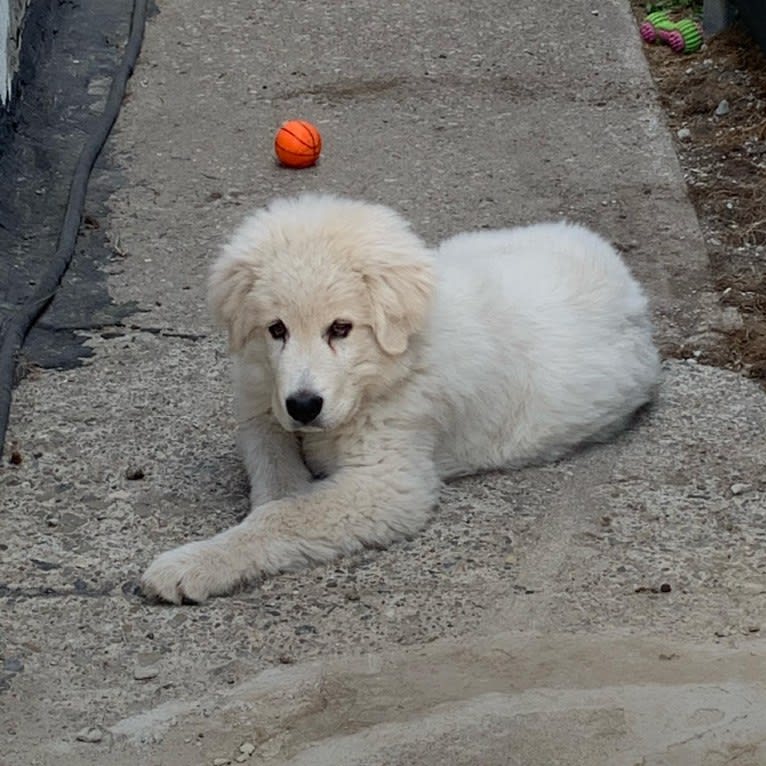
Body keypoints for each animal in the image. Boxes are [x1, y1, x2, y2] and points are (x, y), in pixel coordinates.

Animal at [142, 194, 660, 608]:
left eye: (341, 328)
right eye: (276, 329)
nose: (304, 406)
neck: (380, 373)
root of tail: (629, 285)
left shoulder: (388, 483)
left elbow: (286, 515)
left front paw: (193, 564)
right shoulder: (262, 404)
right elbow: (277, 479)